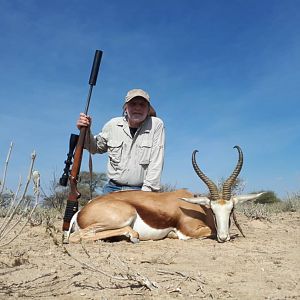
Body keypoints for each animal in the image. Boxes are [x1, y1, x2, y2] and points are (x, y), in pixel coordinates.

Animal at [66, 146, 262, 244]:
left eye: (231, 209)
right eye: (213, 210)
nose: (223, 237)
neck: (198, 209)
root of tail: (81, 212)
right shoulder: (192, 229)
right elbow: (206, 232)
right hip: (123, 217)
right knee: (75, 237)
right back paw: (133, 236)